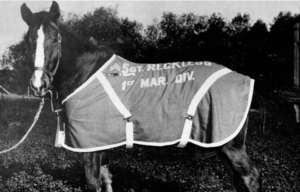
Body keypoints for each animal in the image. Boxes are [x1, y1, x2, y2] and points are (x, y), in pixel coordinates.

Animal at [20, 1, 260, 192]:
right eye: (29, 39)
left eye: (54, 38)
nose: (38, 84)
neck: (86, 73)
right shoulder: (100, 144)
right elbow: (107, 179)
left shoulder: (90, 145)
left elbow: (93, 183)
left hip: (230, 145)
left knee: (250, 179)